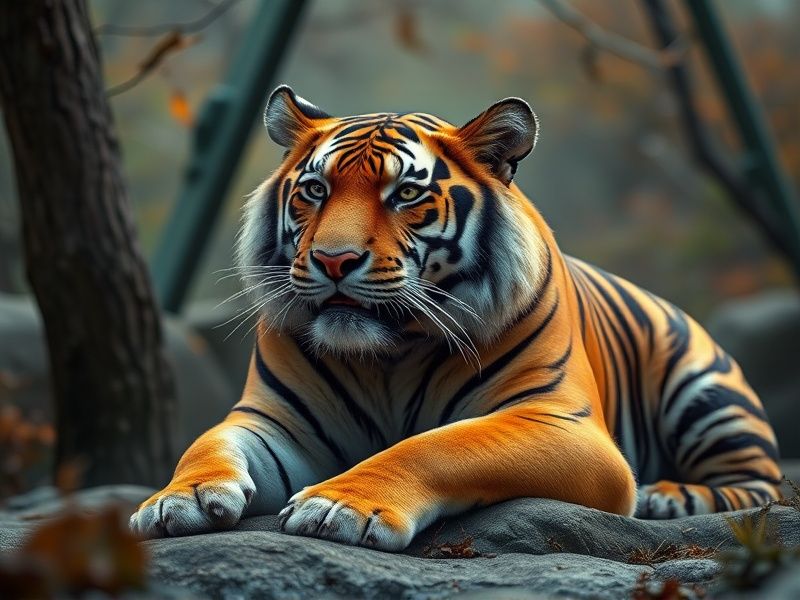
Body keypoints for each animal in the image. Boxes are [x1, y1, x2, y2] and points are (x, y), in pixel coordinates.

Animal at [130, 85, 782, 551]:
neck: (385, 357)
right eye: (315, 190)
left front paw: (338, 505)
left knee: (760, 484)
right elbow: (207, 443)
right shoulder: (276, 419)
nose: (333, 260)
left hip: (702, 391)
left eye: (404, 195)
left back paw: (665, 498)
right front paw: (177, 500)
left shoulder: (559, 421)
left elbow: (438, 446)